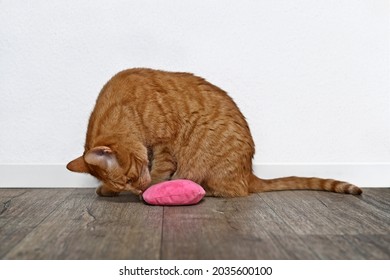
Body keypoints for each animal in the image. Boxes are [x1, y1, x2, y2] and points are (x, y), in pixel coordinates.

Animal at [68, 68, 362, 197]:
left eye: (131, 178)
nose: (138, 189)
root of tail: (248, 172)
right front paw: (108, 190)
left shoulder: (164, 146)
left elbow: (160, 171)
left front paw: (151, 189)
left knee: (233, 192)